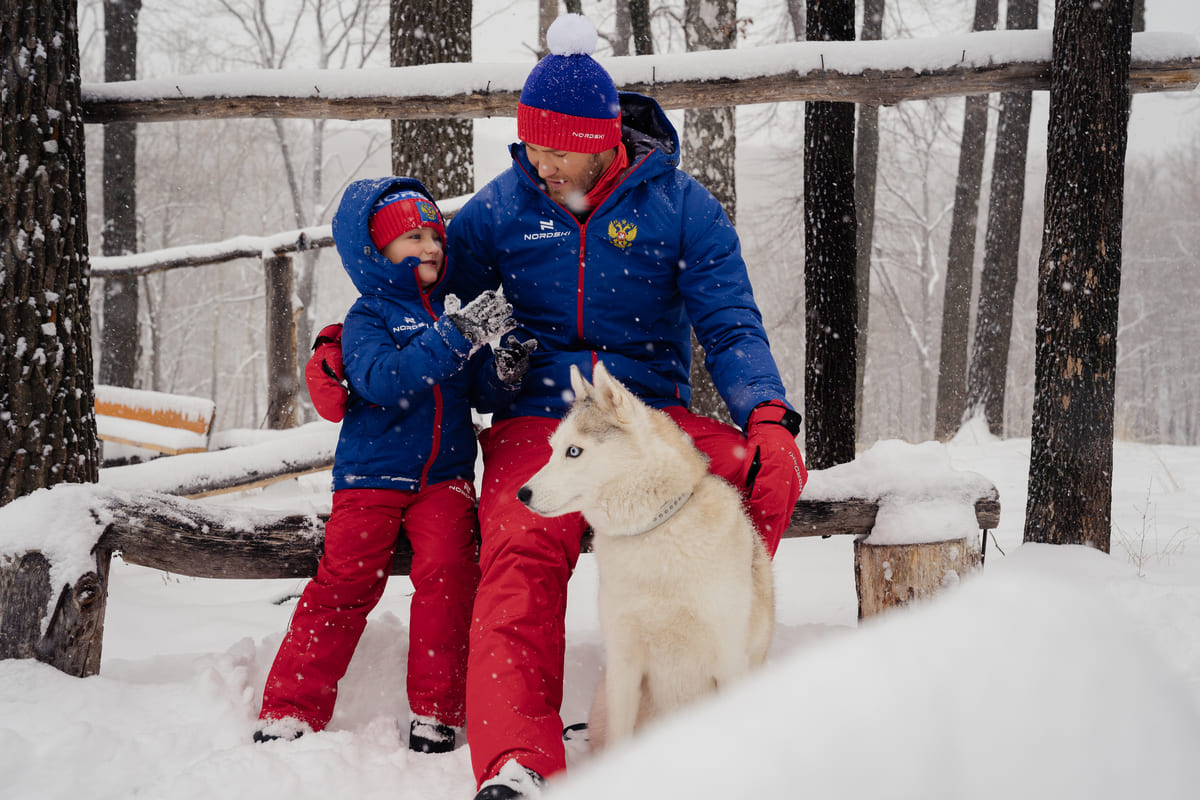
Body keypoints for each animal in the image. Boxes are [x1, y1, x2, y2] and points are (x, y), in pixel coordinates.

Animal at [520, 362, 772, 753]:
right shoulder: (624, 666)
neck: (654, 531)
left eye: (573, 451)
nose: (522, 493)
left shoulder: (729, 659)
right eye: (551, 450)